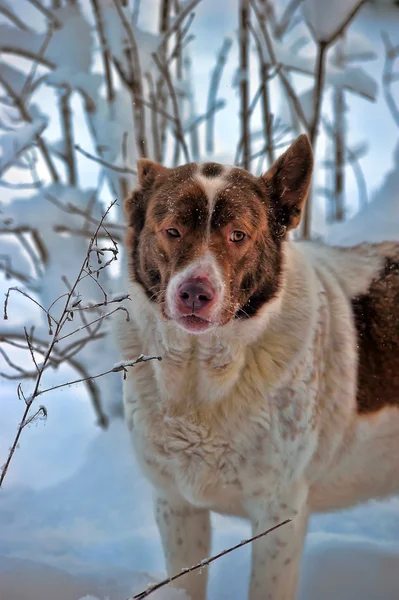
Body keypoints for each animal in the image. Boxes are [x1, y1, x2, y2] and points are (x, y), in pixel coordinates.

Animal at [117, 136, 399, 600]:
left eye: (238, 236)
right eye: (172, 230)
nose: (195, 293)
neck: (201, 376)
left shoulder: (279, 513)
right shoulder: (175, 504)